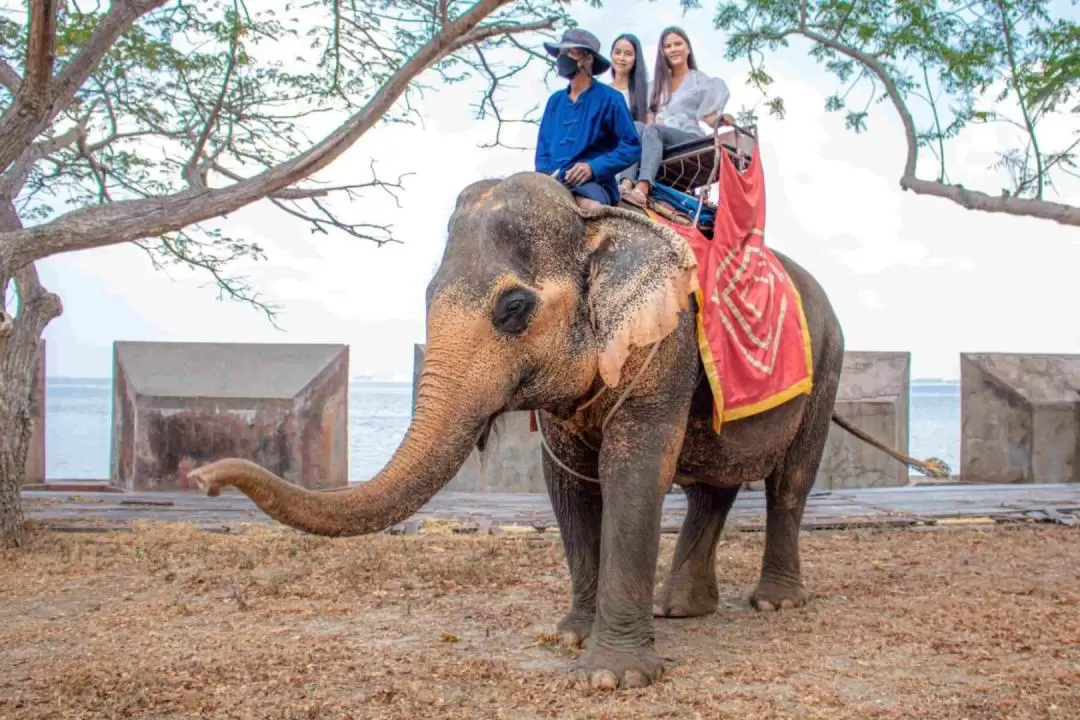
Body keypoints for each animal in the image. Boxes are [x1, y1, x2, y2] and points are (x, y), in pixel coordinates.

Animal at [190, 170, 950, 690]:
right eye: (428, 297)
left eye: (513, 308)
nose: (202, 478)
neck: (595, 222)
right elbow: (568, 487)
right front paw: (568, 640)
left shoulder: (666, 343)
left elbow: (632, 474)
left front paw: (612, 677)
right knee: (713, 484)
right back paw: (680, 609)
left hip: (829, 360)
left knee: (789, 479)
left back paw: (772, 603)